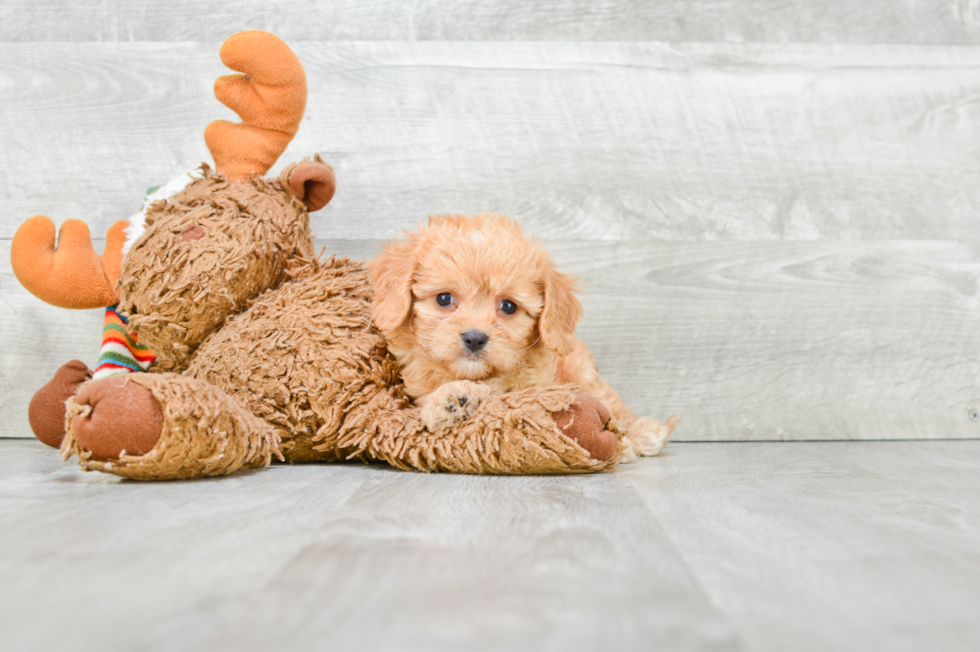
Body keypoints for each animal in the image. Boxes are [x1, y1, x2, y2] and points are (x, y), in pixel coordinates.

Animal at [368, 214, 672, 458]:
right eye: (444, 298)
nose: (475, 338)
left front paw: (457, 396)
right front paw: (452, 400)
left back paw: (643, 435)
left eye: (508, 306)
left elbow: (499, 394)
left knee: (615, 407)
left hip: (583, 374)